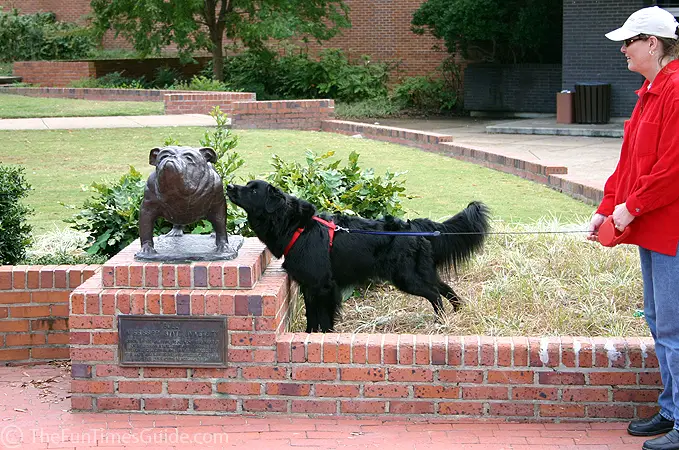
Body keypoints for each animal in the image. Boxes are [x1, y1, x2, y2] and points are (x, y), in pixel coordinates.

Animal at [226, 180, 492, 334]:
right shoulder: (308, 286)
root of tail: (413, 225)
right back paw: (456, 314)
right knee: (445, 287)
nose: (228, 187)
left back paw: (440, 322)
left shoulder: (324, 286)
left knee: (435, 294)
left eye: (253, 189)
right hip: (420, 272)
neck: (295, 227)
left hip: (406, 277)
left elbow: (324, 319)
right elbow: (311, 318)